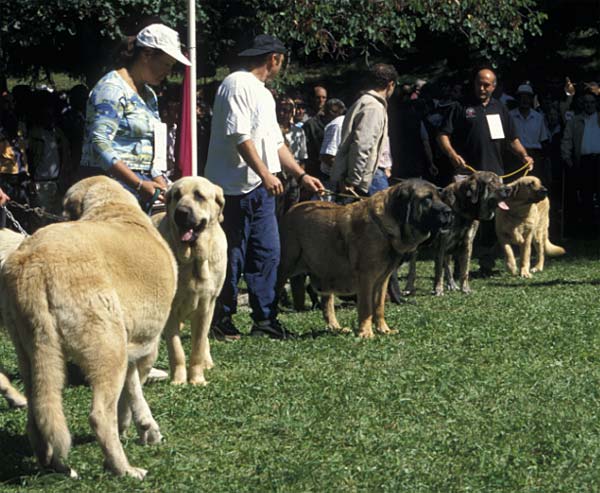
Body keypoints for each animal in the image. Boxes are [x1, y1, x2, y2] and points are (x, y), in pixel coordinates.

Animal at [0, 176, 177, 476]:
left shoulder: (130, 348)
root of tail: (34, 263)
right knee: (99, 415)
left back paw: (55, 464)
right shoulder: (146, 347)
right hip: (108, 348)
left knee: (39, 413)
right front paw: (138, 428)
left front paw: (143, 427)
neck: (114, 208)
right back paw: (124, 469)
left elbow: (131, 389)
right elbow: (133, 394)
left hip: (32, 354)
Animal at [152, 175, 227, 386]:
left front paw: (197, 379)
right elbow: (176, 349)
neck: (193, 259)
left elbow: (198, 347)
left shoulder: (206, 306)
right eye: (176, 195)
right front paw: (178, 380)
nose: (181, 213)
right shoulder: (170, 311)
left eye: (199, 196)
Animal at [278, 180, 452, 338]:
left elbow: (379, 306)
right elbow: (366, 307)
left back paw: (336, 328)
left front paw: (384, 330)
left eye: (439, 196)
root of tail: (291, 209)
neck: (385, 227)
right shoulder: (367, 278)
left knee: (327, 304)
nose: (449, 211)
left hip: (326, 271)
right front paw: (366, 333)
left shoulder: (383, 280)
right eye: (427, 199)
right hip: (286, 267)